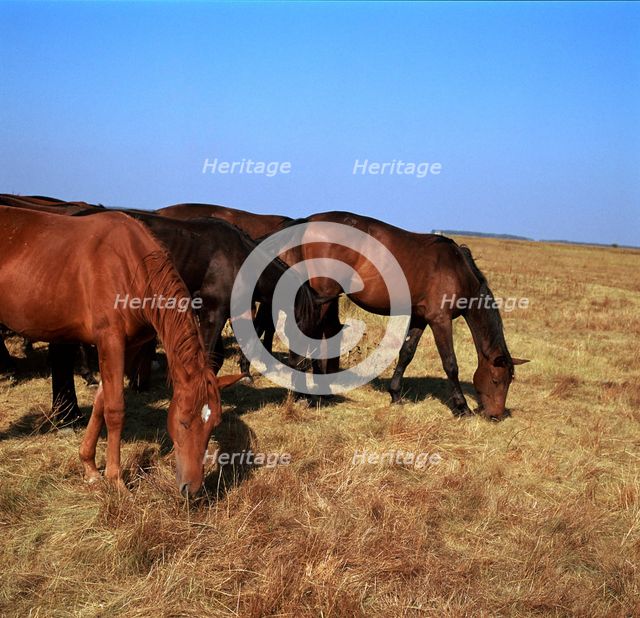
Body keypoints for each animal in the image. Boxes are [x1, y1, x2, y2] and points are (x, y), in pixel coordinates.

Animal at [0, 206, 242, 495]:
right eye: (183, 421)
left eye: (214, 424)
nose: (191, 489)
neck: (130, 267)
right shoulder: (110, 340)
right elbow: (115, 409)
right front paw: (116, 480)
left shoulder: (126, 346)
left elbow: (100, 403)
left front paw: (90, 468)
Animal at [279, 211, 529, 419]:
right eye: (496, 380)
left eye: (509, 382)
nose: (496, 415)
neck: (457, 270)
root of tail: (309, 220)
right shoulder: (440, 320)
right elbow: (450, 363)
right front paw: (462, 407)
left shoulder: (420, 318)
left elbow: (407, 353)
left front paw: (395, 395)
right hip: (323, 297)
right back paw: (307, 396)